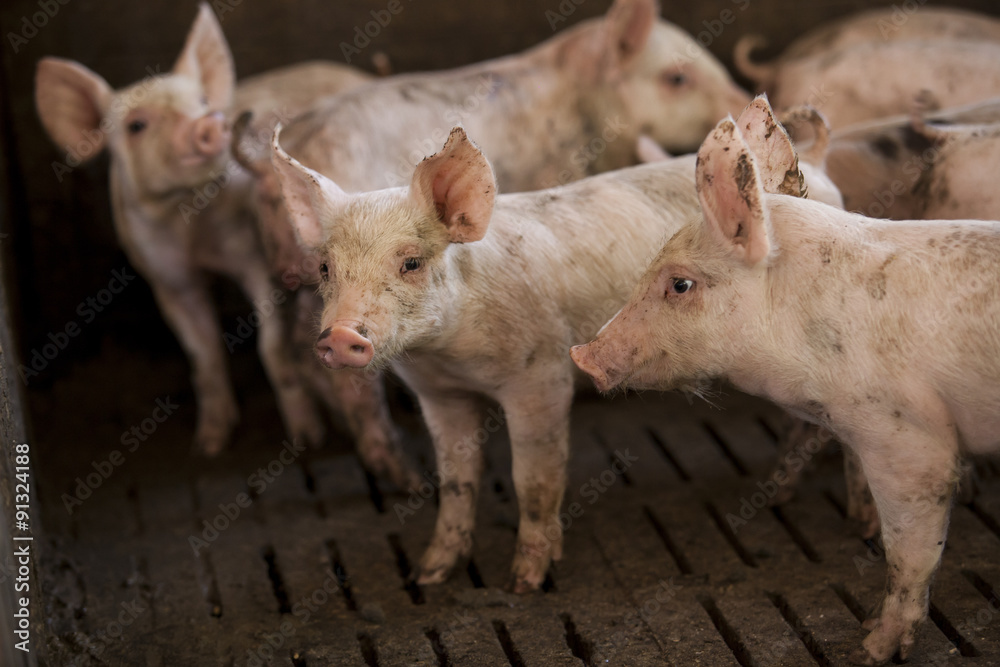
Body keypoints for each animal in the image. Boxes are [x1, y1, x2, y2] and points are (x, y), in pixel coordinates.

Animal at [34, 3, 417, 489]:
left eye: (201, 103)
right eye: (137, 125)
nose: (210, 123)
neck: (188, 224)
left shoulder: (256, 260)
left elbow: (271, 347)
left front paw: (309, 438)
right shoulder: (165, 276)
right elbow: (202, 354)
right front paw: (209, 446)